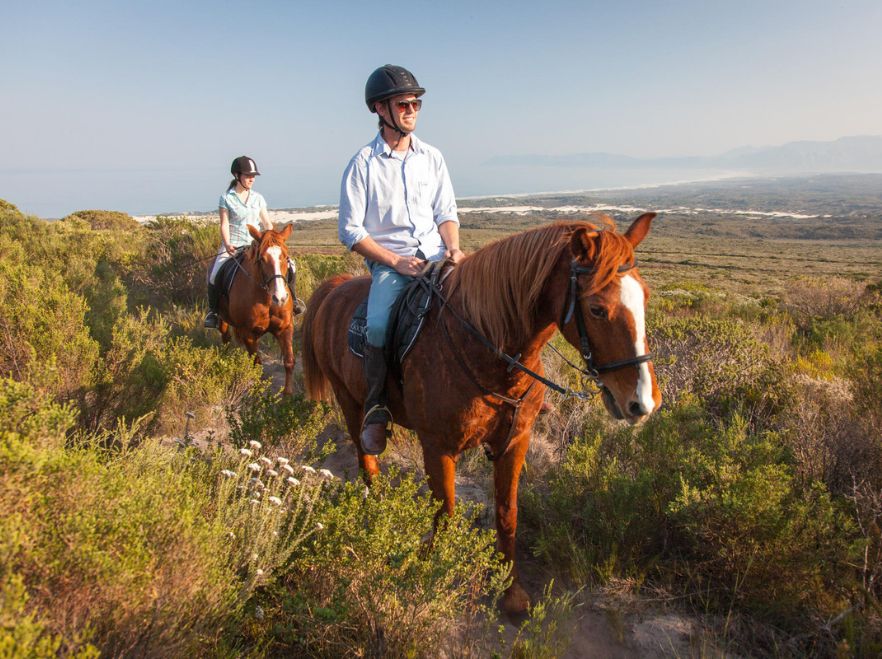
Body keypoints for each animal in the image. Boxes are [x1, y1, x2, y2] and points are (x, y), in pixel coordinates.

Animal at [215, 223, 297, 395]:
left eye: (286, 257)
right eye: (262, 259)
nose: (280, 298)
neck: (266, 299)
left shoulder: (285, 328)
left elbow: (289, 361)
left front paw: (288, 394)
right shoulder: (248, 333)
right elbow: (257, 364)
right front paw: (259, 392)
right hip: (222, 319)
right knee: (225, 338)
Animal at [301, 213, 661, 614]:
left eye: (645, 297)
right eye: (596, 308)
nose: (643, 401)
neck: (487, 351)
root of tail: (334, 288)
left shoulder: (514, 442)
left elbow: (507, 514)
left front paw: (510, 590)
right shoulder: (438, 448)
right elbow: (445, 514)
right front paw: (435, 577)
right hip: (349, 402)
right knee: (367, 462)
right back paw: (377, 513)